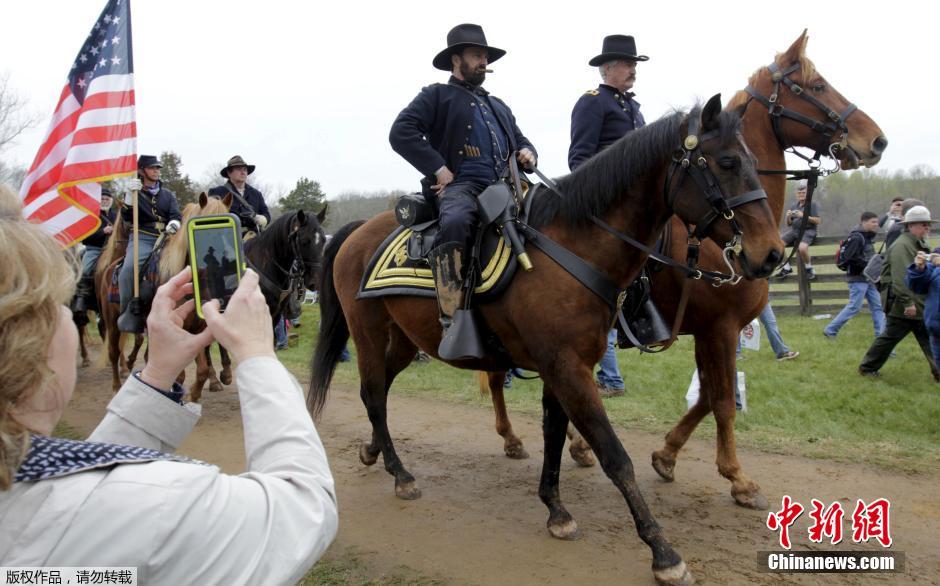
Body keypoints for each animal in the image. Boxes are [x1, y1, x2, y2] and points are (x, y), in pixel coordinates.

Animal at [310, 96, 784, 584]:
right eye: (727, 162)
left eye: (753, 161)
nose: (771, 254)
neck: (574, 247)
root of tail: (358, 230)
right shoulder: (572, 366)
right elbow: (618, 455)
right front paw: (663, 550)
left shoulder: (567, 366)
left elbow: (556, 434)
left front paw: (557, 510)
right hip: (367, 333)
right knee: (373, 394)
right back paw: (401, 474)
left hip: (405, 341)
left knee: (380, 391)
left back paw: (374, 453)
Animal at [482, 32, 884, 508]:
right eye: (818, 85)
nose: (877, 141)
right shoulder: (721, 328)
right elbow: (723, 400)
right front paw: (738, 479)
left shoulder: (708, 331)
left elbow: (710, 396)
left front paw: (667, 455)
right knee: (496, 373)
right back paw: (511, 438)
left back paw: (571, 444)